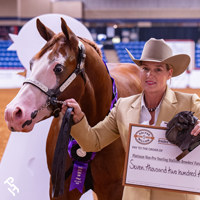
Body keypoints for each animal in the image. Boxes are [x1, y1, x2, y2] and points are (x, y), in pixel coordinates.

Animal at [4, 18, 142, 199]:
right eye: (31, 64)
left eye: (58, 68)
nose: (13, 113)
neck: (93, 131)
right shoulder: (60, 188)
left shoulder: (114, 190)